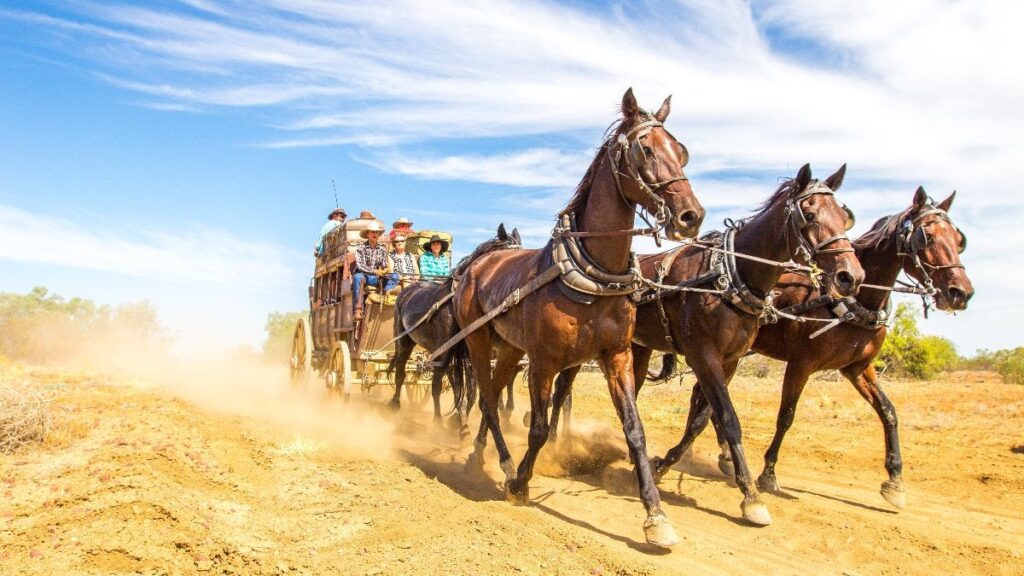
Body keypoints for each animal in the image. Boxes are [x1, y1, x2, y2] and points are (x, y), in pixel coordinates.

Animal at [387, 224, 522, 436]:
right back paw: (395, 404)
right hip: (404, 341)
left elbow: (471, 391)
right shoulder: (450, 354)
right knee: (401, 372)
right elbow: (458, 390)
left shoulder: (469, 354)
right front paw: (458, 425)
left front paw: (456, 423)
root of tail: (406, 291)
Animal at [454, 89, 704, 547]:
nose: (691, 216)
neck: (593, 273)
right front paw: (520, 483)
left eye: (681, 152)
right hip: (479, 341)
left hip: (510, 351)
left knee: (492, 396)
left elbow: (634, 431)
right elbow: (537, 428)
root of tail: (478, 265)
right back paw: (502, 463)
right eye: (645, 150)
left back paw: (479, 457)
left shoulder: (617, 356)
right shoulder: (544, 362)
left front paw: (655, 515)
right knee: (486, 400)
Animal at [549, 163, 864, 525]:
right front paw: (751, 496)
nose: (851, 276)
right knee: (562, 389)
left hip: (638, 349)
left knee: (633, 390)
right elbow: (728, 419)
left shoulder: (729, 361)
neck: (732, 275)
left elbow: (702, 419)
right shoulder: (703, 355)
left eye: (844, 216)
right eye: (809, 215)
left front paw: (663, 463)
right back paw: (555, 441)